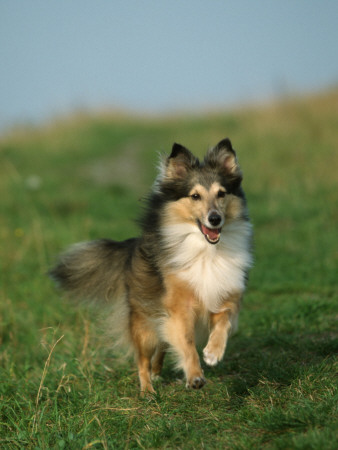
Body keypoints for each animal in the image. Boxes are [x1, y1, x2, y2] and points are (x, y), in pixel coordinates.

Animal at [49, 137, 251, 394]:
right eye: (195, 196)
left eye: (222, 193)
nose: (215, 219)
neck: (206, 250)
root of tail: (133, 245)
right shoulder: (179, 307)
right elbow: (186, 343)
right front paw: (195, 376)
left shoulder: (225, 294)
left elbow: (224, 322)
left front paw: (213, 353)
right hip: (144, 325)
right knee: (143, 358)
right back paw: (147, 390)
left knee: (163, 345)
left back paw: (157, 371)